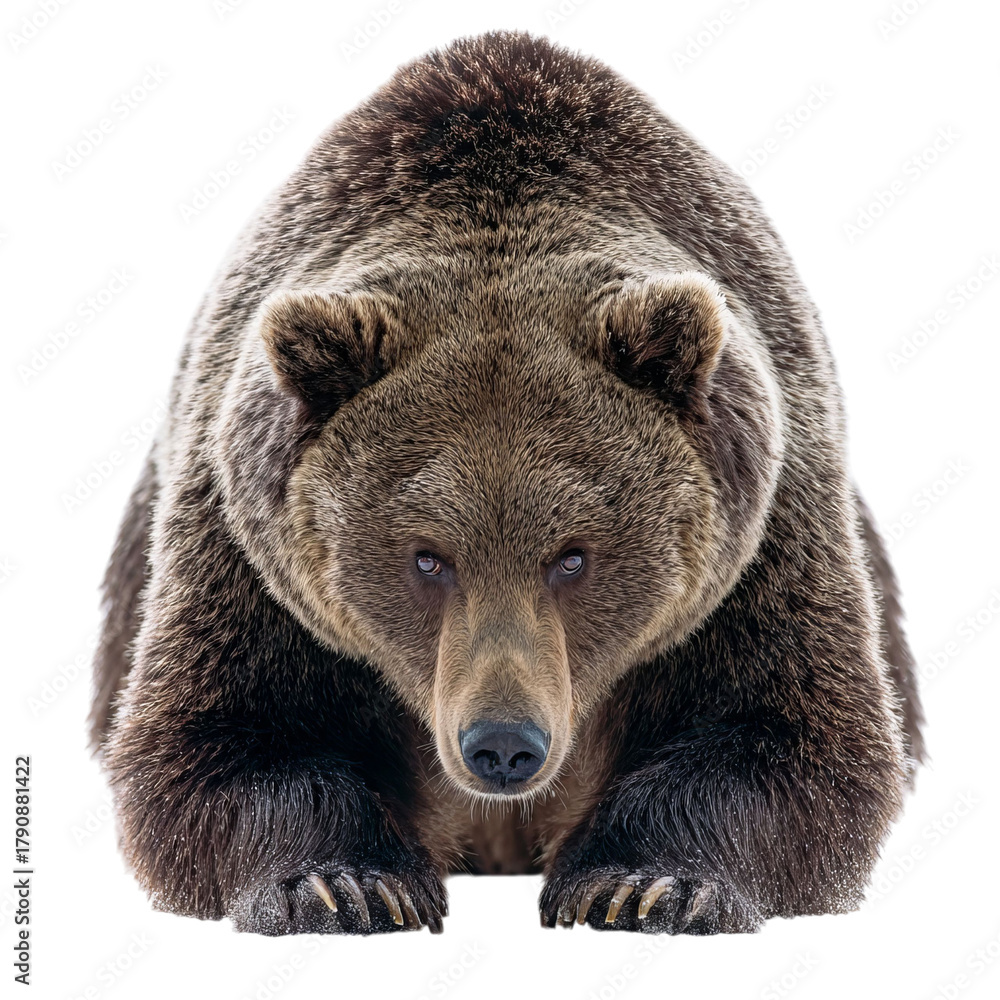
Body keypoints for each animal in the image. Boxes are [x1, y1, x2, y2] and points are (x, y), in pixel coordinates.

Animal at [90, 30, 924, 936]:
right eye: (427, 557)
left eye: (573, 556)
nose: (502, 745)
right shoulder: (249, 551)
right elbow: (226, 743)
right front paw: (344, 884)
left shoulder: (761, 538)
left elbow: (787, 741)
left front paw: (645, 884)